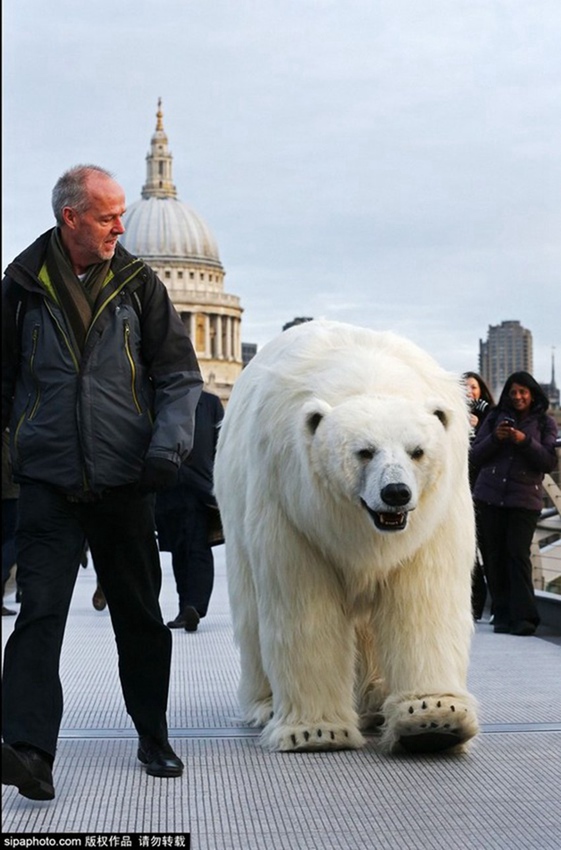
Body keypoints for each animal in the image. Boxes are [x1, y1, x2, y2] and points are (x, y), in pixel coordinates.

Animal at [213, 322, 476, 752]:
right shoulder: (292, 506)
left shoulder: (434, 518)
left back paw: (376, 703)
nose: (396, 493)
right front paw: (315, 731)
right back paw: (265, 705)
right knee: (251, 613)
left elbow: (424, 599)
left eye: (417, 451)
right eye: (364, 452)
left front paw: (434, 717)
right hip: (236, 515)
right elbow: (306, 607)